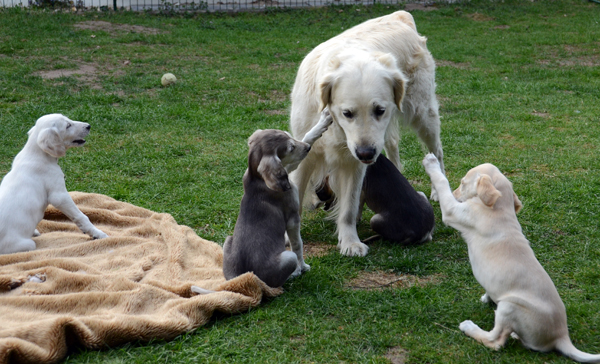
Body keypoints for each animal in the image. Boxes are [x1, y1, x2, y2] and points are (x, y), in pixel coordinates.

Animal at [0, 112, 106, 255]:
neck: (37, 153)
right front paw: (98, 234)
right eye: (68, 125)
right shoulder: (60, 196)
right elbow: (81, 216)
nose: (88, 126)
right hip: (25, 244)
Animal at [288, 11, 442, 256]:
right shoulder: (307, 154)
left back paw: (438, 190)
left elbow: (349, 208)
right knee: (393, 145)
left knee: (437, 151)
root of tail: (400, 15)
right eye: (347, 113)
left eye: (379, 110)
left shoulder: (355, 162)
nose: (366, 154)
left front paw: (350, 243)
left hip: (423, 114)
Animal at [422, 152, 600, 362]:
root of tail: (561, 336)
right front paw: (487, 296)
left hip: (509, 306)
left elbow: (442, 183)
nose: (458, 194)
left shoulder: (454, 211)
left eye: (463, 183)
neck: (500, 207)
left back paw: (470, 327)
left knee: (496, 341)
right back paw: (514, 333)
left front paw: (431, 163)